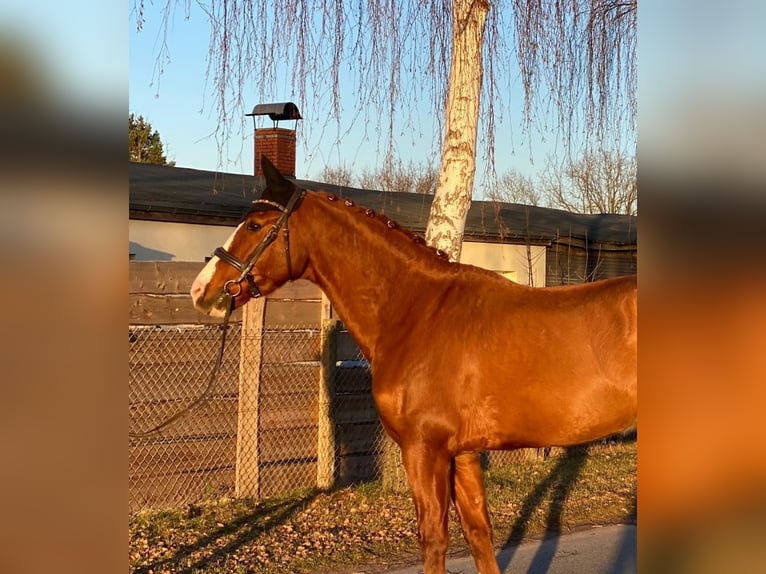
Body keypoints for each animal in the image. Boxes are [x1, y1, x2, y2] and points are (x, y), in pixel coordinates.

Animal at [190, 158, 636, 574]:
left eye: (254, 225)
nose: (201, 290)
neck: (418, 309)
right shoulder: (464, 455)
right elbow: (479, 533)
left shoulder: (424, 450)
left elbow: (433, 539)